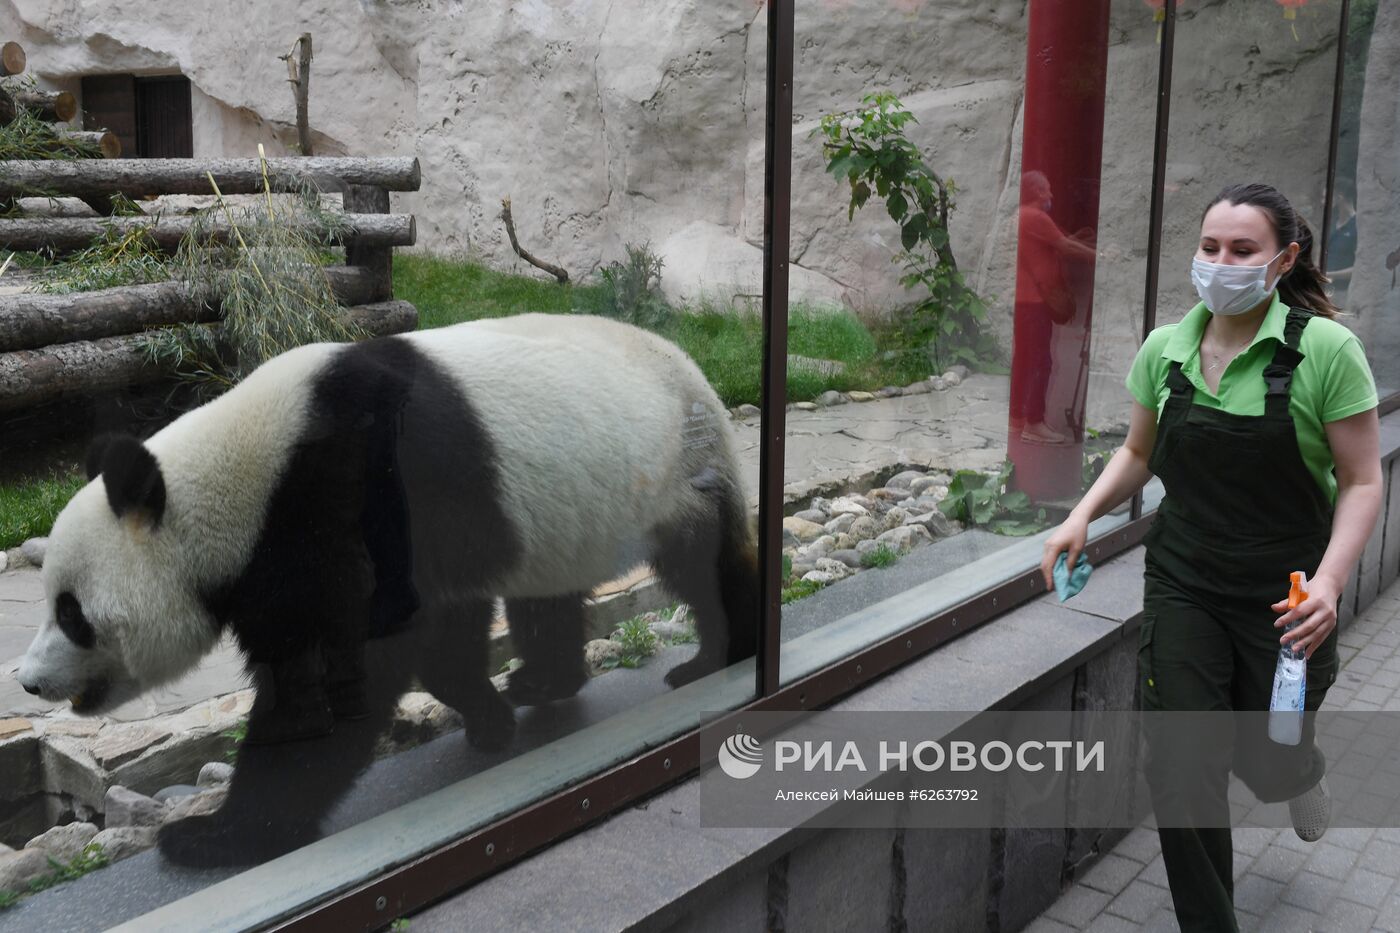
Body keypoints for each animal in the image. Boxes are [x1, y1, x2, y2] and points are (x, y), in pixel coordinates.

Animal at [13, 311, 756, 857]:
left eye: (72, 613)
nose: (29, 681)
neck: (236, 483)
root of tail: (694, 367)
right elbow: (435, 636)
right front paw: (490, 719)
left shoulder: (343, 497)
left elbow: (345, 670)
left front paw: (215, 835)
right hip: (554, 518)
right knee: (545, 598)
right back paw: (544, 681)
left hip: (673, 470)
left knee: (702, 565)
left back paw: (717, 658)